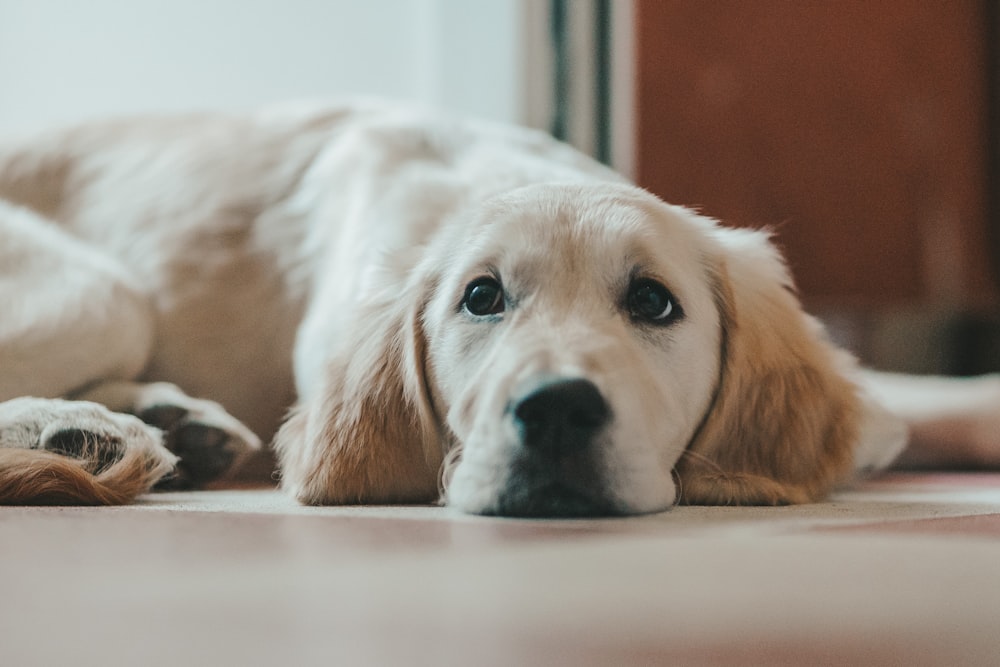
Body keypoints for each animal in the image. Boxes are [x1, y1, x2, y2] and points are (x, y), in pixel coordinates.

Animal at [1, 99, 1000, 516]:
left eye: (653, 301)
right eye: (480, 297)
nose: (555, 412)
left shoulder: (872, 402)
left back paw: (168, 423)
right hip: (99, 293)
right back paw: (79, 431)